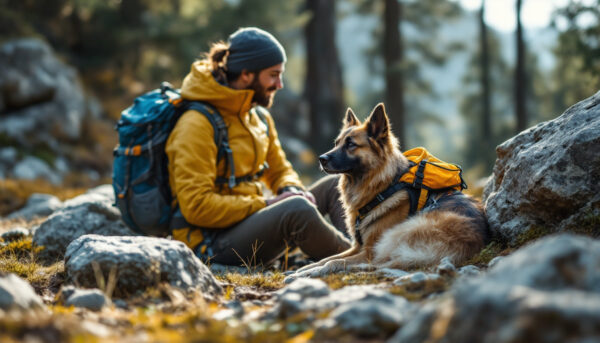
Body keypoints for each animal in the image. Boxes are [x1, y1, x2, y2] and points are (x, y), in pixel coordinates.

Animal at [288, 103, 490, 280]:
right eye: (336, 143)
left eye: (351, 144)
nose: (321, 159)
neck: (383, 186)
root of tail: (470, 243)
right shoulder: (357, 246)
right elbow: (326, 258)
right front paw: (303, 269)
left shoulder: (368, 250)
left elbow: (333, 261)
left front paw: (311, 271)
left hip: (397, 234)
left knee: (376, 264)